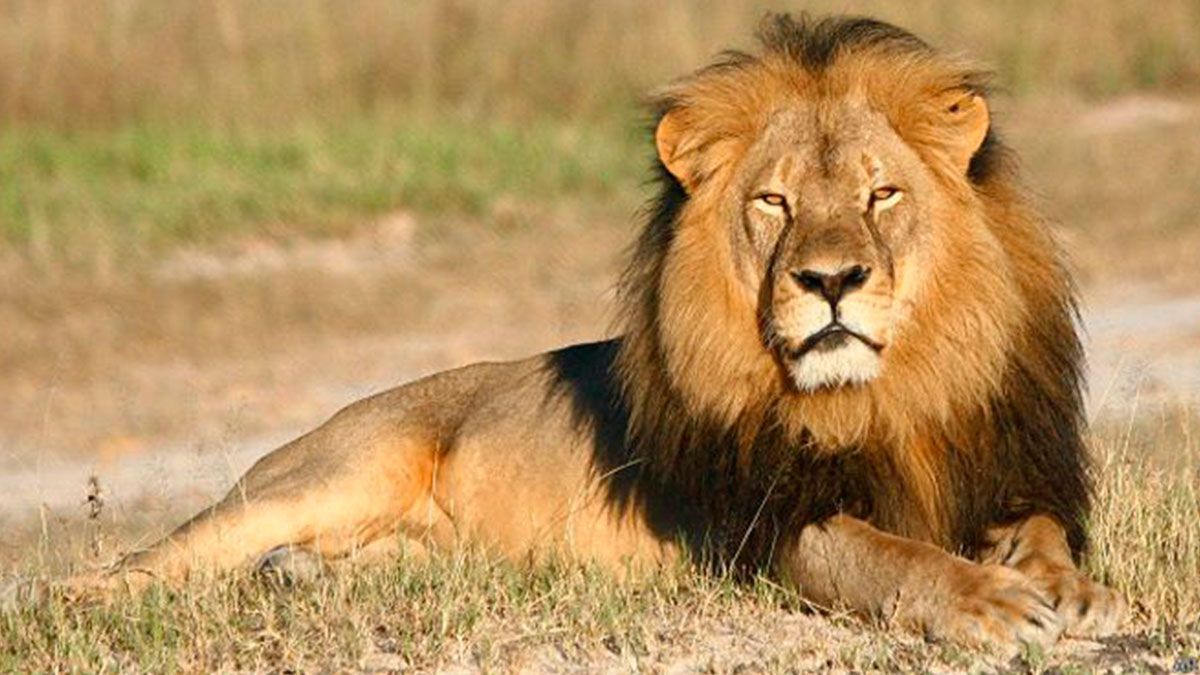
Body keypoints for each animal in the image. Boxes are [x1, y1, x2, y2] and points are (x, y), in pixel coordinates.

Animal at [63, 15, 1125, 651]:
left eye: (882, 194)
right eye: (775, 203)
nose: (830, 280)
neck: (882, 396)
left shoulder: (1003, 465)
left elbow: (1039, 528)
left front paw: (1072, 588)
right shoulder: (762, 525)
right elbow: (886, 555)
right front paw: (988, 601)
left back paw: (298, 579)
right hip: (331, 470)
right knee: (146, 559)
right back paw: (90, 604)